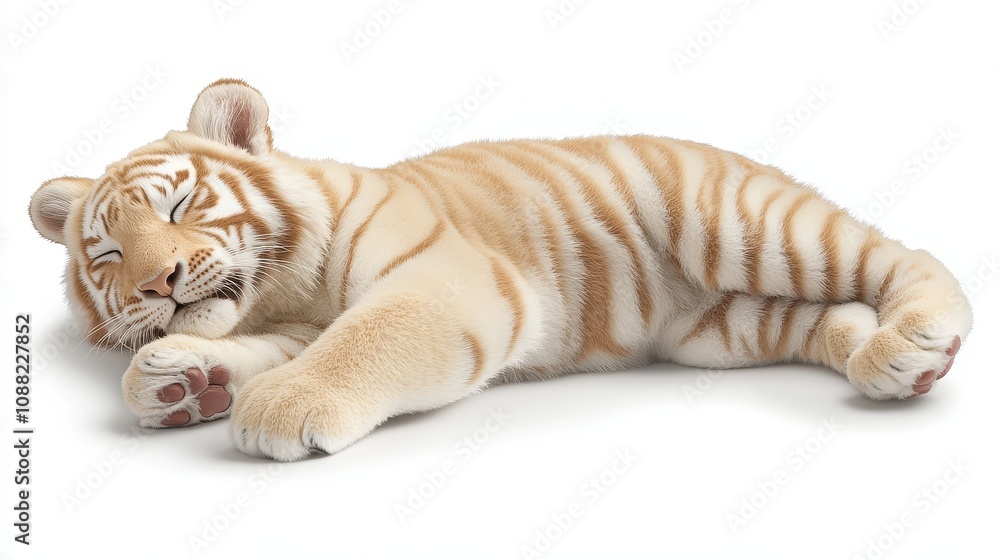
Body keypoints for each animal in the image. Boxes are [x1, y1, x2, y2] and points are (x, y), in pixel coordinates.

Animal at [28, 79, 972, 461]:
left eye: (181, 208)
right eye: (108, 253)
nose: (157, 283)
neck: (281, 290)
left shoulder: (443, 281)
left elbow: (363, 340)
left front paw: (278, 406)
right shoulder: (286, 324)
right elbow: (243, 352)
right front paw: (182, 382)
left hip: (741, 222)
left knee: (907, 256)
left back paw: (922, 336)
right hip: (728, 327)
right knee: (834, 316)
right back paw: (896, 366)